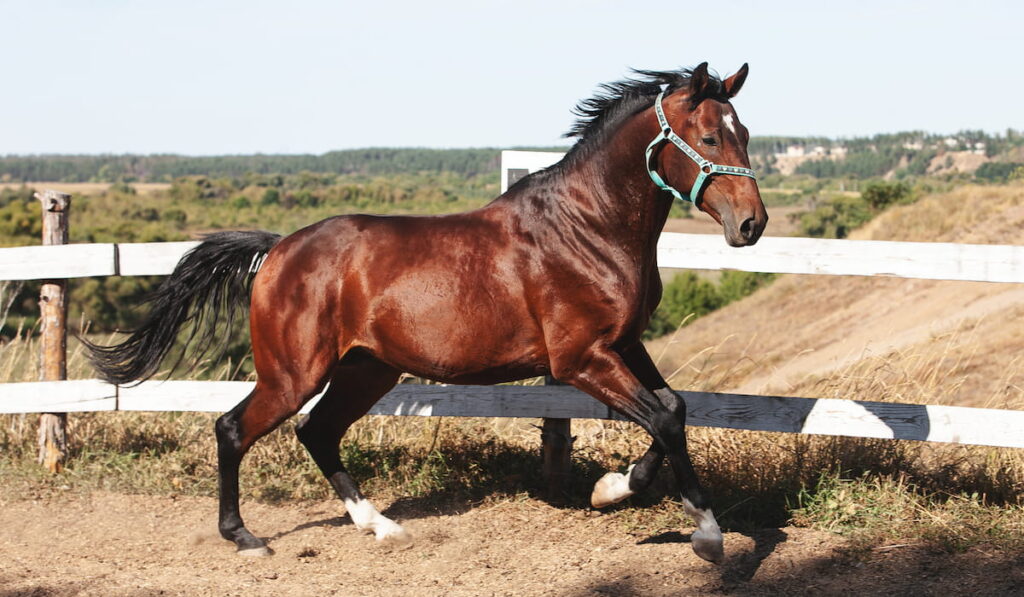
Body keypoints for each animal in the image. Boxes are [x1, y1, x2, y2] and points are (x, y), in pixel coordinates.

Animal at [83, 61, 765, 565]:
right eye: (710, 137)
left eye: (746, 134)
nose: (751, 225)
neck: (586, 228)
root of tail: (277, 250)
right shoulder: (580, 359)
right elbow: (664, 417)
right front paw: (706, 535)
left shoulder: (623, 345)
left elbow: (674, 409)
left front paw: (613, 489)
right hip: (293, 373)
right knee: (234, 428)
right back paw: (245, 538)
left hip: (366, 369)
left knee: (317, 432)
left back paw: (379, 526)